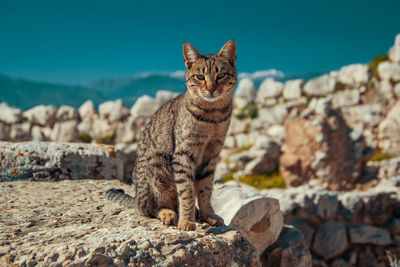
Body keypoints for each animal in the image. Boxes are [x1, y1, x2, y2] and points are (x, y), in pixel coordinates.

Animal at [106, 38, 238, 231]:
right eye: (200, 77)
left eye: (220, 76)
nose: (211, 89)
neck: (213, 115)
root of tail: (135, 198)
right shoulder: (184, 154)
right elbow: (187, 191)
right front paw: (187, 220)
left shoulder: (212, 154)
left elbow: (205, 189)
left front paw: (209, 215)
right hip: (155, 167)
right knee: (148, 208)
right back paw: (168, 213)